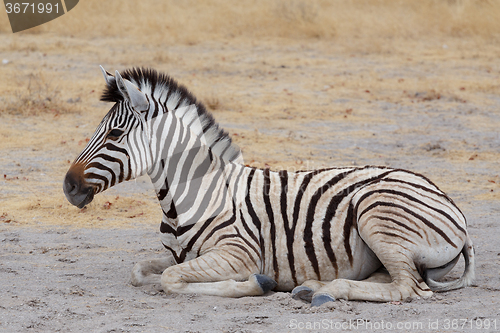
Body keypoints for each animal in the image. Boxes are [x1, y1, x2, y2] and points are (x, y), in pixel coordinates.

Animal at [64, 66, 474, 304]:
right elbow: (141, 271)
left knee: (408, 288)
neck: (196, 194)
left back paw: (324, 291)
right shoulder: (182, 254)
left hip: (377, 214)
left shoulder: (238, 253)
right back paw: (314, 287)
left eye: (115, 134)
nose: (68, 186)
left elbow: (170, 279)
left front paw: (254, 285)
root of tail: (447, 199)